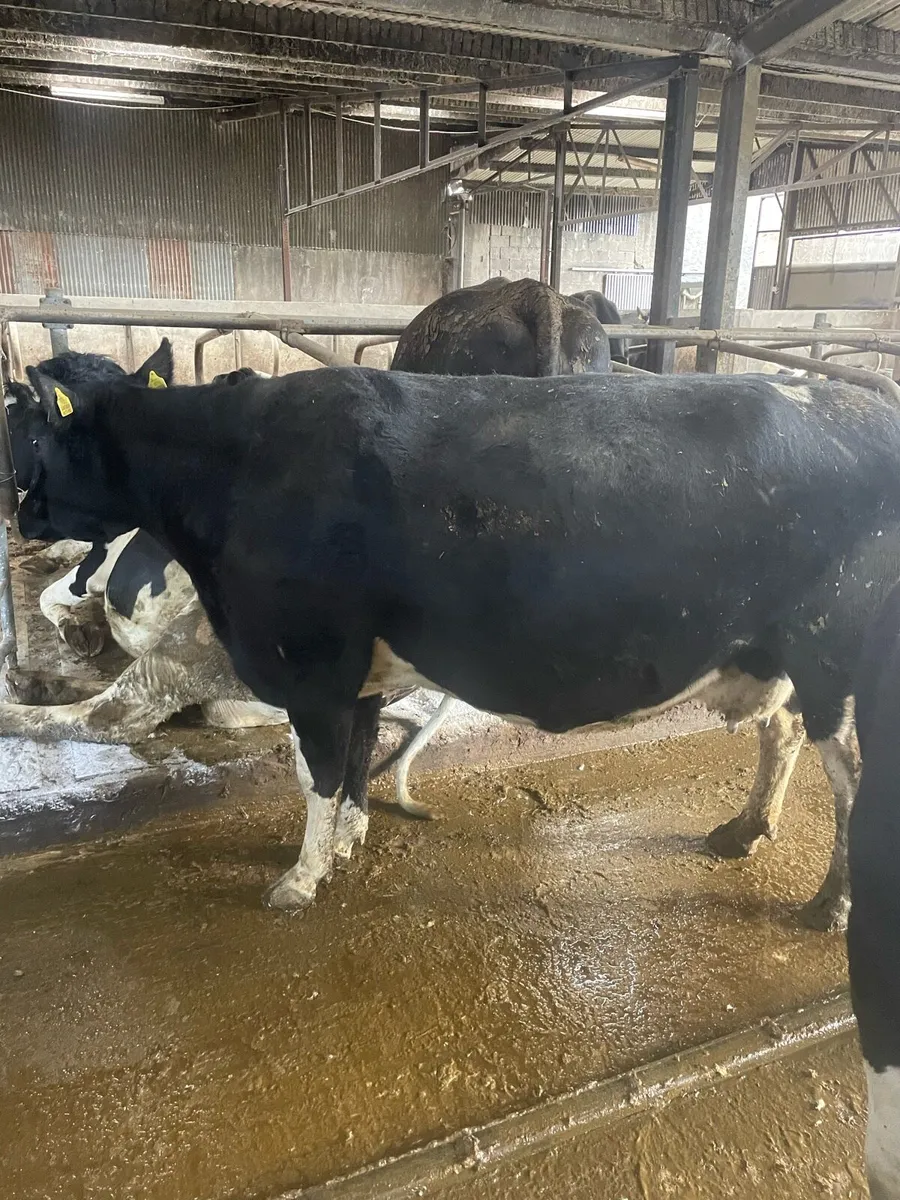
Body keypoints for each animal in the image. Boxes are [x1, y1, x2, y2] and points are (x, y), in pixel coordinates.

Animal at [14, 364, 900, 927]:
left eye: (44, 444)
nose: (20, 511)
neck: (234, 467)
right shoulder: (359, 672)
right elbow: (355, 756)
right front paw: (349, 843)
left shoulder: (311, 665)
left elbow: (318, 773)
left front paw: (301, 880)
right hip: (775, 654)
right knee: (784, 731)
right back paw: (741, 833)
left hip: (835, 659)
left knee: (851, 776)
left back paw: (831, 907)